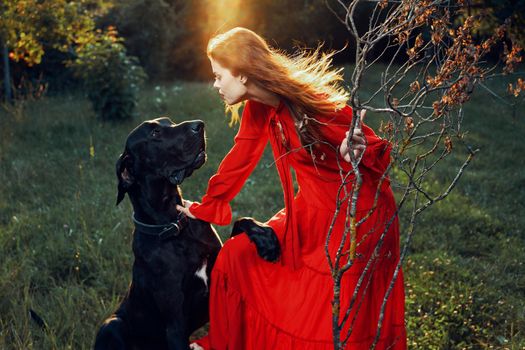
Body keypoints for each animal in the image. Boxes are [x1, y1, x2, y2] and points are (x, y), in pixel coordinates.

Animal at [95, 118, 282, 350]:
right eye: (155, 133)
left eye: (169, 121)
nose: (199, 125)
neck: (175, 226)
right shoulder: (176, 324)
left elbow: (240, 222)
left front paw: (265, 238)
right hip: (111, 325)